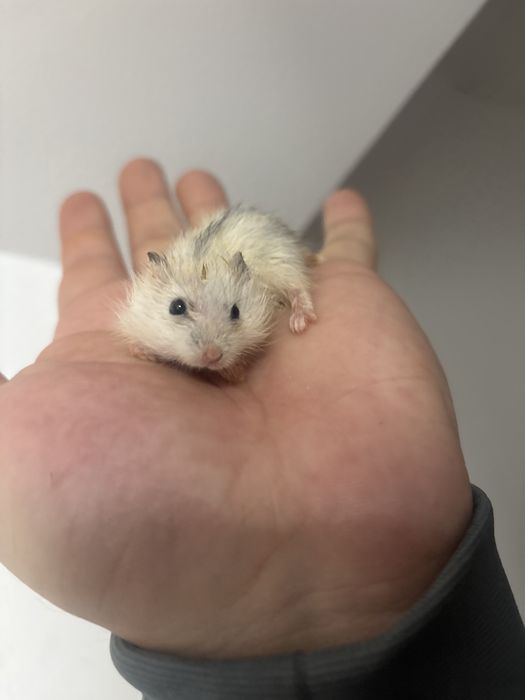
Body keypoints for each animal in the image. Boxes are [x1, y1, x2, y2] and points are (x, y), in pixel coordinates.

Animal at [115, 206, 317, 379]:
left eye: (236, 311)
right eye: (176, 307)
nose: (213, 356)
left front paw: (236, 373)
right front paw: (144, 353)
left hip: (283, 261)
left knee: (298, 287)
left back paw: (300, 322)